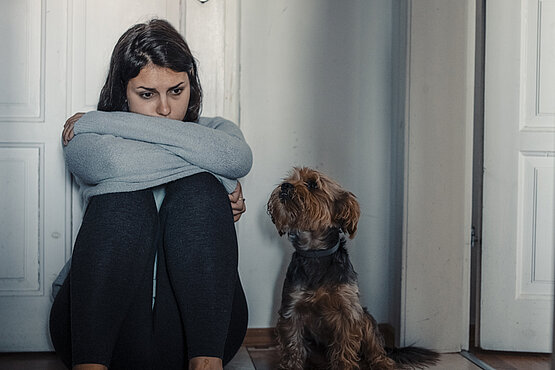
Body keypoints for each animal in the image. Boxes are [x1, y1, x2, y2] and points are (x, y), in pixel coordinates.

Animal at [268, 168, 440, 370]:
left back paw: (383, 362)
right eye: (289, 179)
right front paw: (291, 365)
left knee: (376, 348)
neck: (316, 253)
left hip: (366, 317)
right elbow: (293, 345)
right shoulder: (292, 309)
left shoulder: (348, 311)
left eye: (312, 184)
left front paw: (344, 364)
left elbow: (344, 346)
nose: (285, 186)